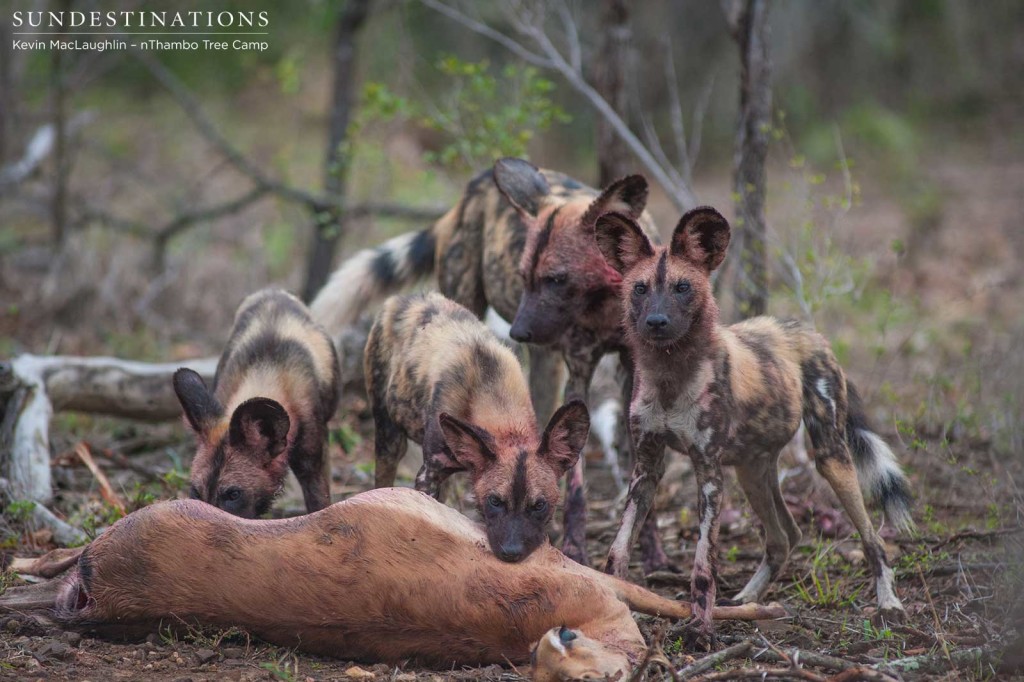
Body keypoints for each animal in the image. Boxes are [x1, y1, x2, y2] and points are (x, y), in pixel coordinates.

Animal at [172, 286, 339, 516]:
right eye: (196, 492)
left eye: (233, 494)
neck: (268, 372)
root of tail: (273, 290)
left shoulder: (312, 467)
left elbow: (318, 505)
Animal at [366, 288, 593, 561]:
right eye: (495, 501)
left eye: (539, 506)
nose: (511, 553)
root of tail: (404, 297)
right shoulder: (429, 474)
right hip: (389, 440)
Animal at [593, 206, 913, 643]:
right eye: (640, 289)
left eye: (681, 287)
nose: (656, 322)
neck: (670, 375)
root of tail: (806, 331)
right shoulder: (646, 469)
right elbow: (618, 549)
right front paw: (617, 603)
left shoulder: (709, 473)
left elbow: (703, 565)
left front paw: (701, 630)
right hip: (752, 471)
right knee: (784, 537)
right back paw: (746, 601)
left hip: (831, 458)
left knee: (873, 539)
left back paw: (888, 604)